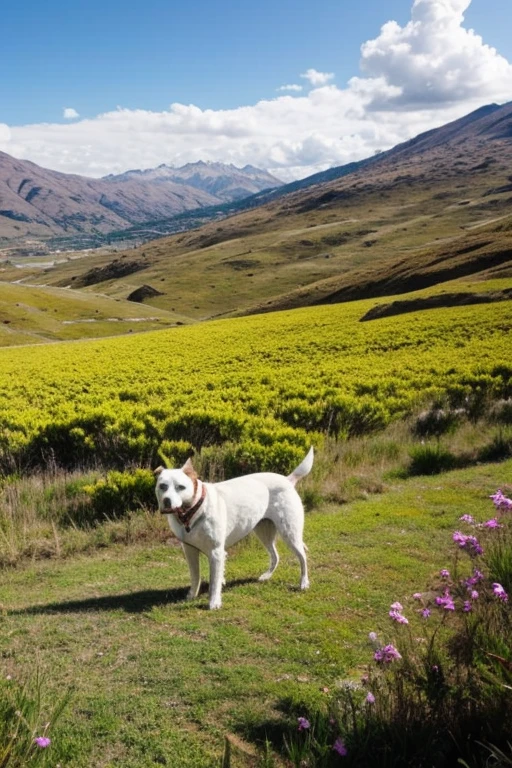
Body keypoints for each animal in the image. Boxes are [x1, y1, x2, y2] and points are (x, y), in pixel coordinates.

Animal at [153, 448, 312, 608]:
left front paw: (214, 602)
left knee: (302, 557)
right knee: (275, 556)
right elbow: (195, 576)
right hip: (264, 533)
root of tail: (287, 479)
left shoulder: (216, 552)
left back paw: (304, 583)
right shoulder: (189, 550)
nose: (166, 501)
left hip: (290, 533)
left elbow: (214, 582)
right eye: (162, 486)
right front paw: (192, 595)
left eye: (180, 487)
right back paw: (267, 576)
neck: (192, 512)